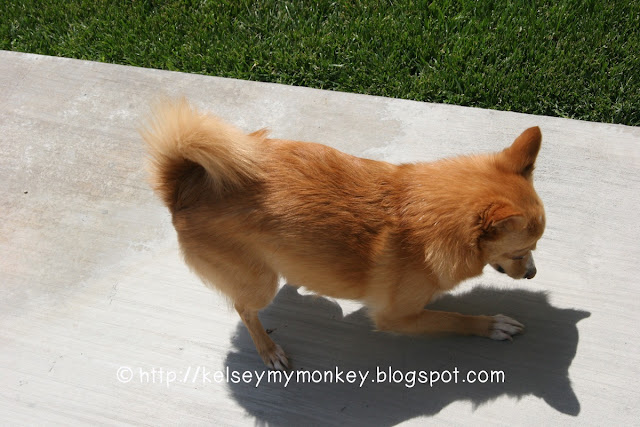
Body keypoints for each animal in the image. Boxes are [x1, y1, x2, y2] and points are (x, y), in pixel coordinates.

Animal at [142, 99, 545, 370]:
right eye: (520, 252)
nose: (533, 274)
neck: (424, 215)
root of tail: (182, 188)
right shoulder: (396, 317)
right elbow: (452, 318)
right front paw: (489, 324)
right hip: (259, 283)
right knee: (244, 309)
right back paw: (267, 349)